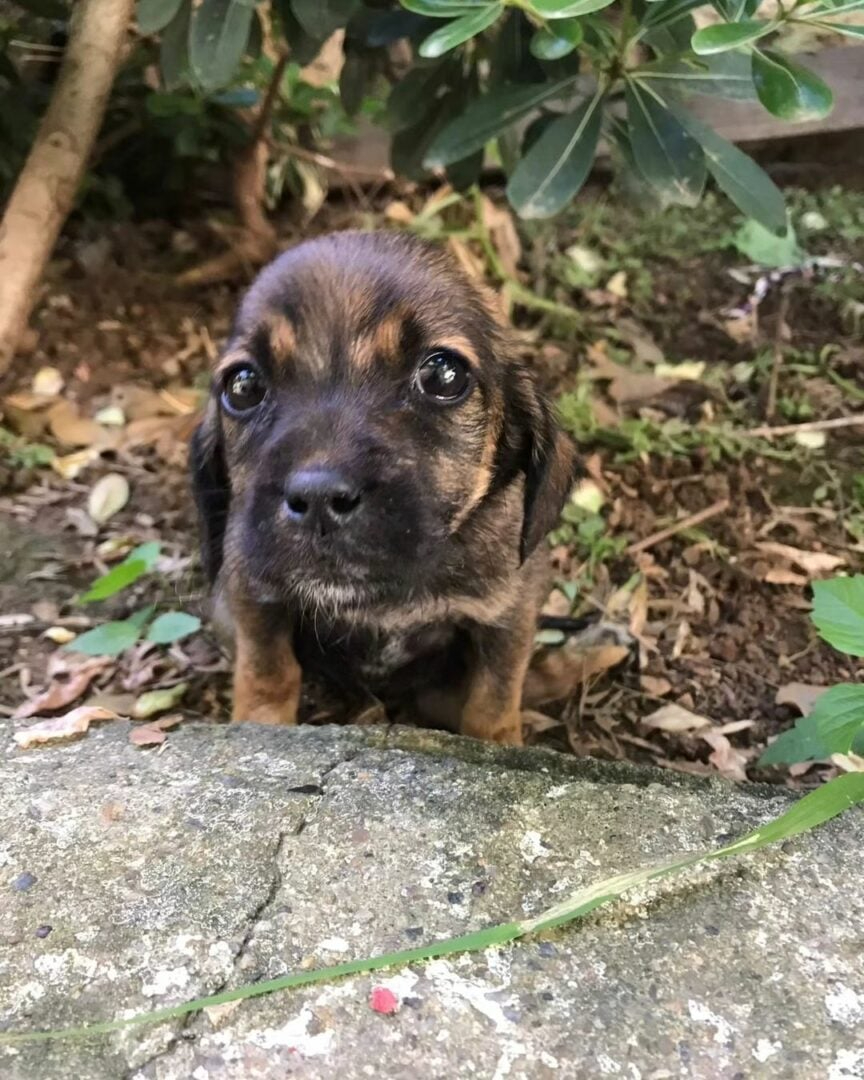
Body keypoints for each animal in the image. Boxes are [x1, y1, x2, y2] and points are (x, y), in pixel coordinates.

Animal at [192, 232, 578, 747]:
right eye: (243, 385)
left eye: (443, 375)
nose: (319, 499)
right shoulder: (253, 593)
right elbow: (268, 671)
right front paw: (260, 728)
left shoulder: (509, 615)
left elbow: (493, 697)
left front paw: (498, 744)